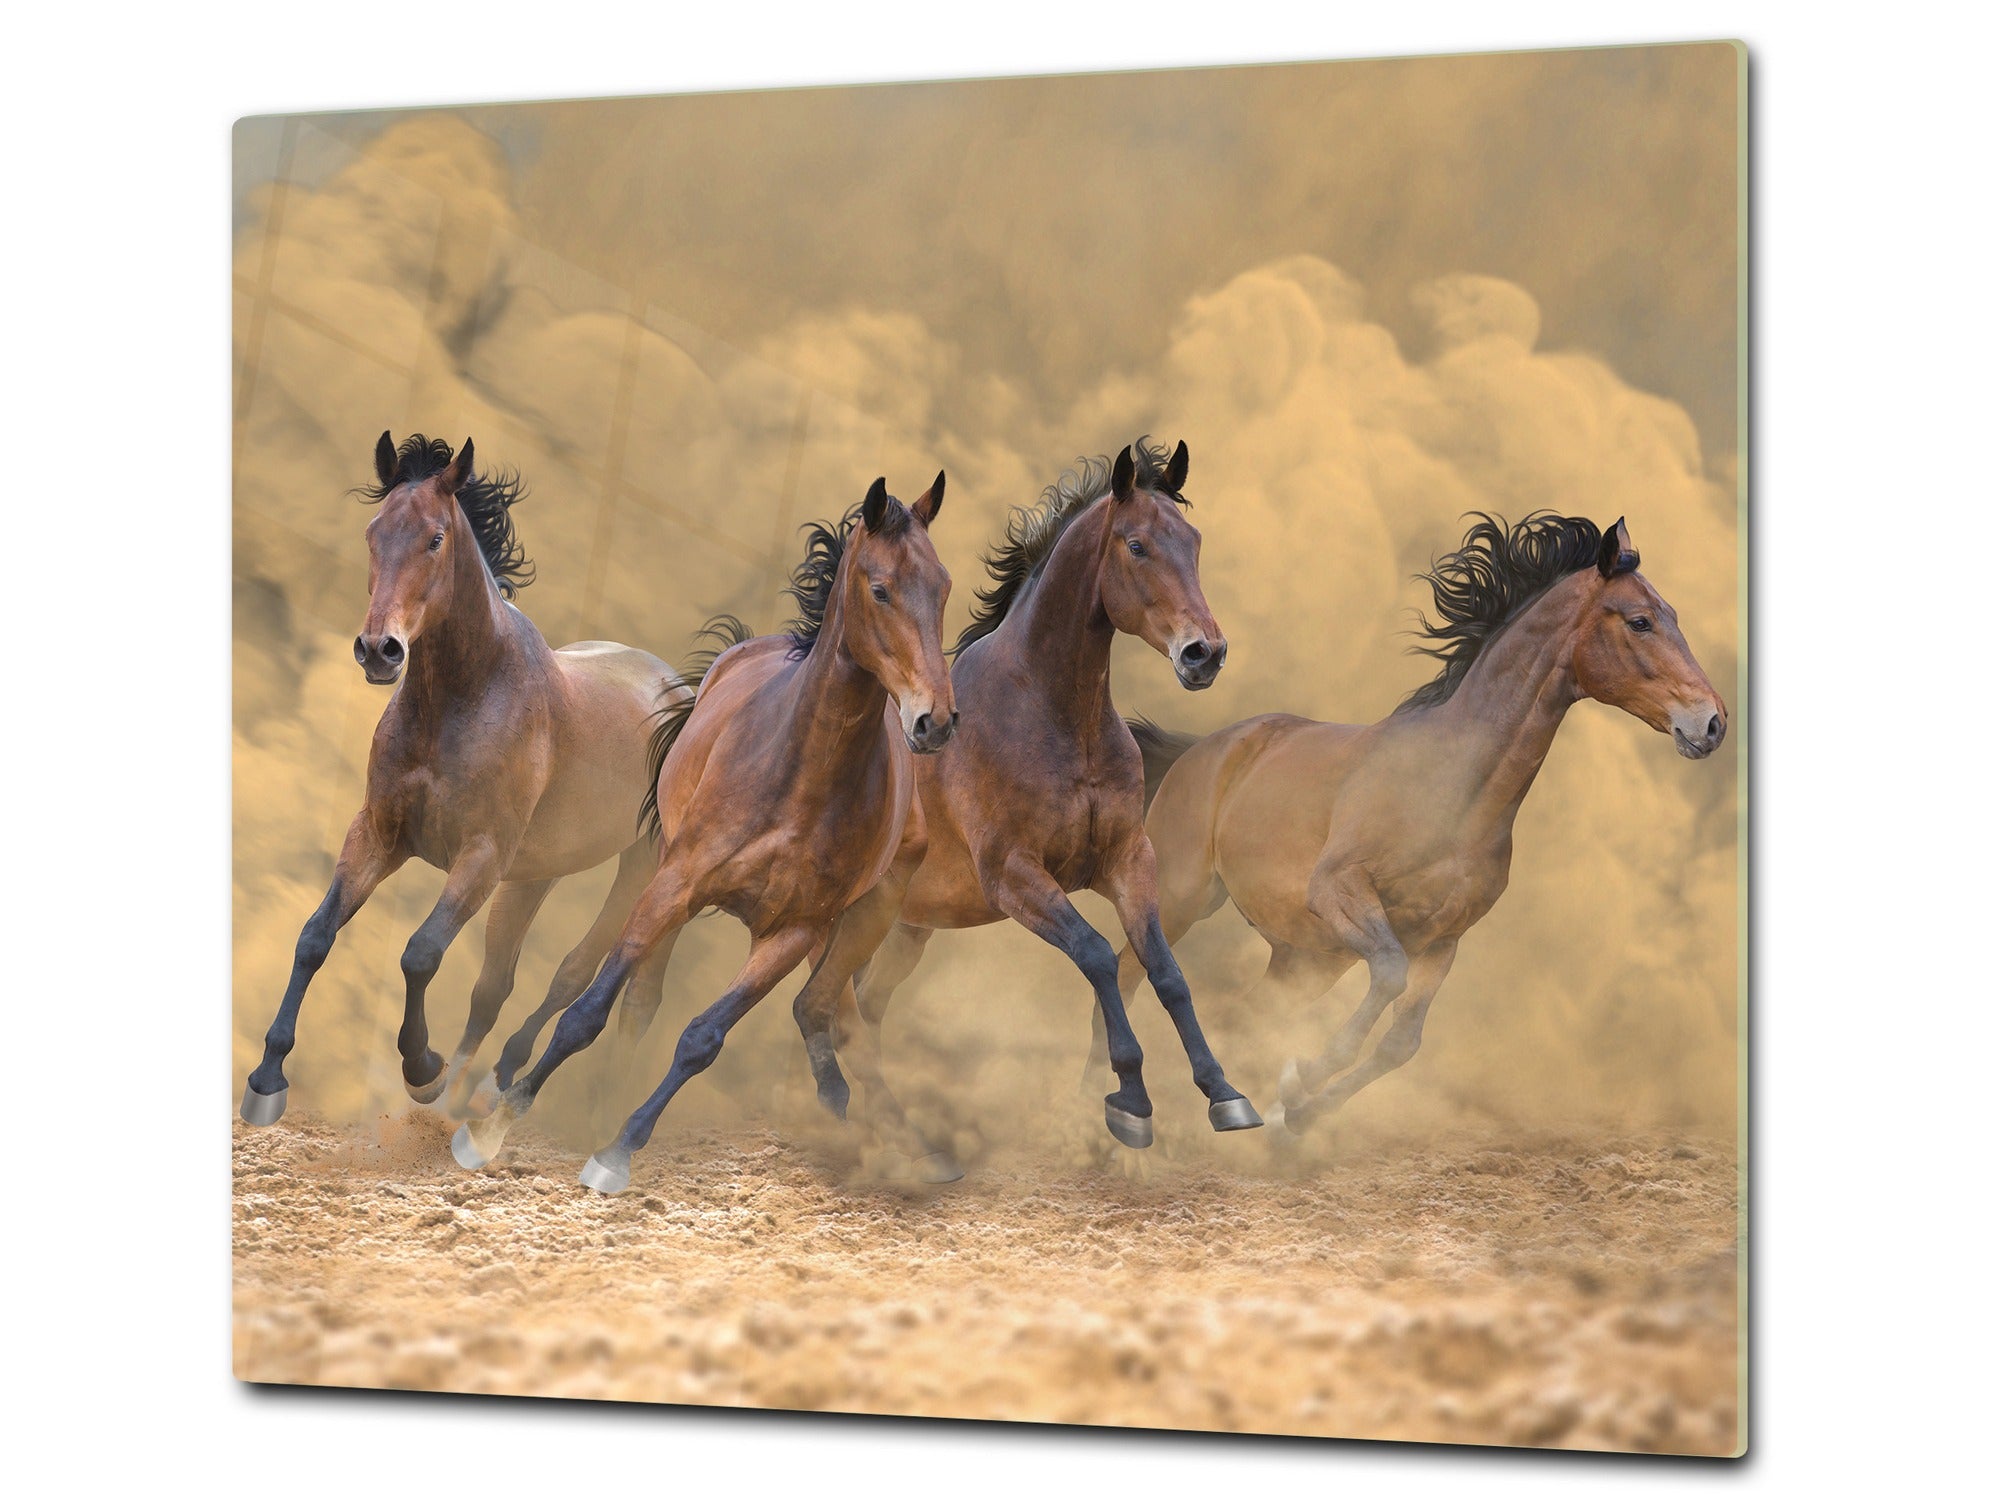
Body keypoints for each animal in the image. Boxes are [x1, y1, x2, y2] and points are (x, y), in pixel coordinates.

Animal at [240, 433, 686, 1126]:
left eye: (435, 538)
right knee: (498, 984)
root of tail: (684, 687)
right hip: (537, 873)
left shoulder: (479, 856)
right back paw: (479, 1086)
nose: (379, 650)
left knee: (588, 976)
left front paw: (421, 1067)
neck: (459, 701)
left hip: (641, 864)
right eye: (373, 532)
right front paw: (267, 1078)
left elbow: (420, 952)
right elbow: (315, 935)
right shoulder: (379, 833)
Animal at [452, 472, 958, 1193]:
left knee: (818, 1008)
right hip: (668, 875)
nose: (934, 721)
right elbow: (589, 1013)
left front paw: (617, 1149)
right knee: (638, 997)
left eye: (942, 588)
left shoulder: (794, 930)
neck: (799, 780)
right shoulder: (677, 883)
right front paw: (494, 1125)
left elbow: (702, 1038)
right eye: (881, 588)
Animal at [786, 438, 1261, 1170]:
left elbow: (1164, 969)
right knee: (832, 1010)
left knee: (862, 1005)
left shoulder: (1129, 861)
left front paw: (1223, 1092)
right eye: (1137, 545)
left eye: (1194, 541)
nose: (1203, 654)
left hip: (904, 928)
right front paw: (1129, 1100)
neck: (1056, 716)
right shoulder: (1014, 876)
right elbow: (1097, 955)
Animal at [1108, 512, 1728, 1133]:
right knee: (1126, 977)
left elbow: (1401, 1042)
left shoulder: (1443, 940)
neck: (1452, 788)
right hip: (1184, 899)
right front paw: (1305, 1075)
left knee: (1246, 1013)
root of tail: (1202, 749)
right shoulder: (1339, 890)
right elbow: (1387, 973)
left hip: (1306, 958)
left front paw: (1301, 1112)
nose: (1713, 723)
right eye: (1641, 621)